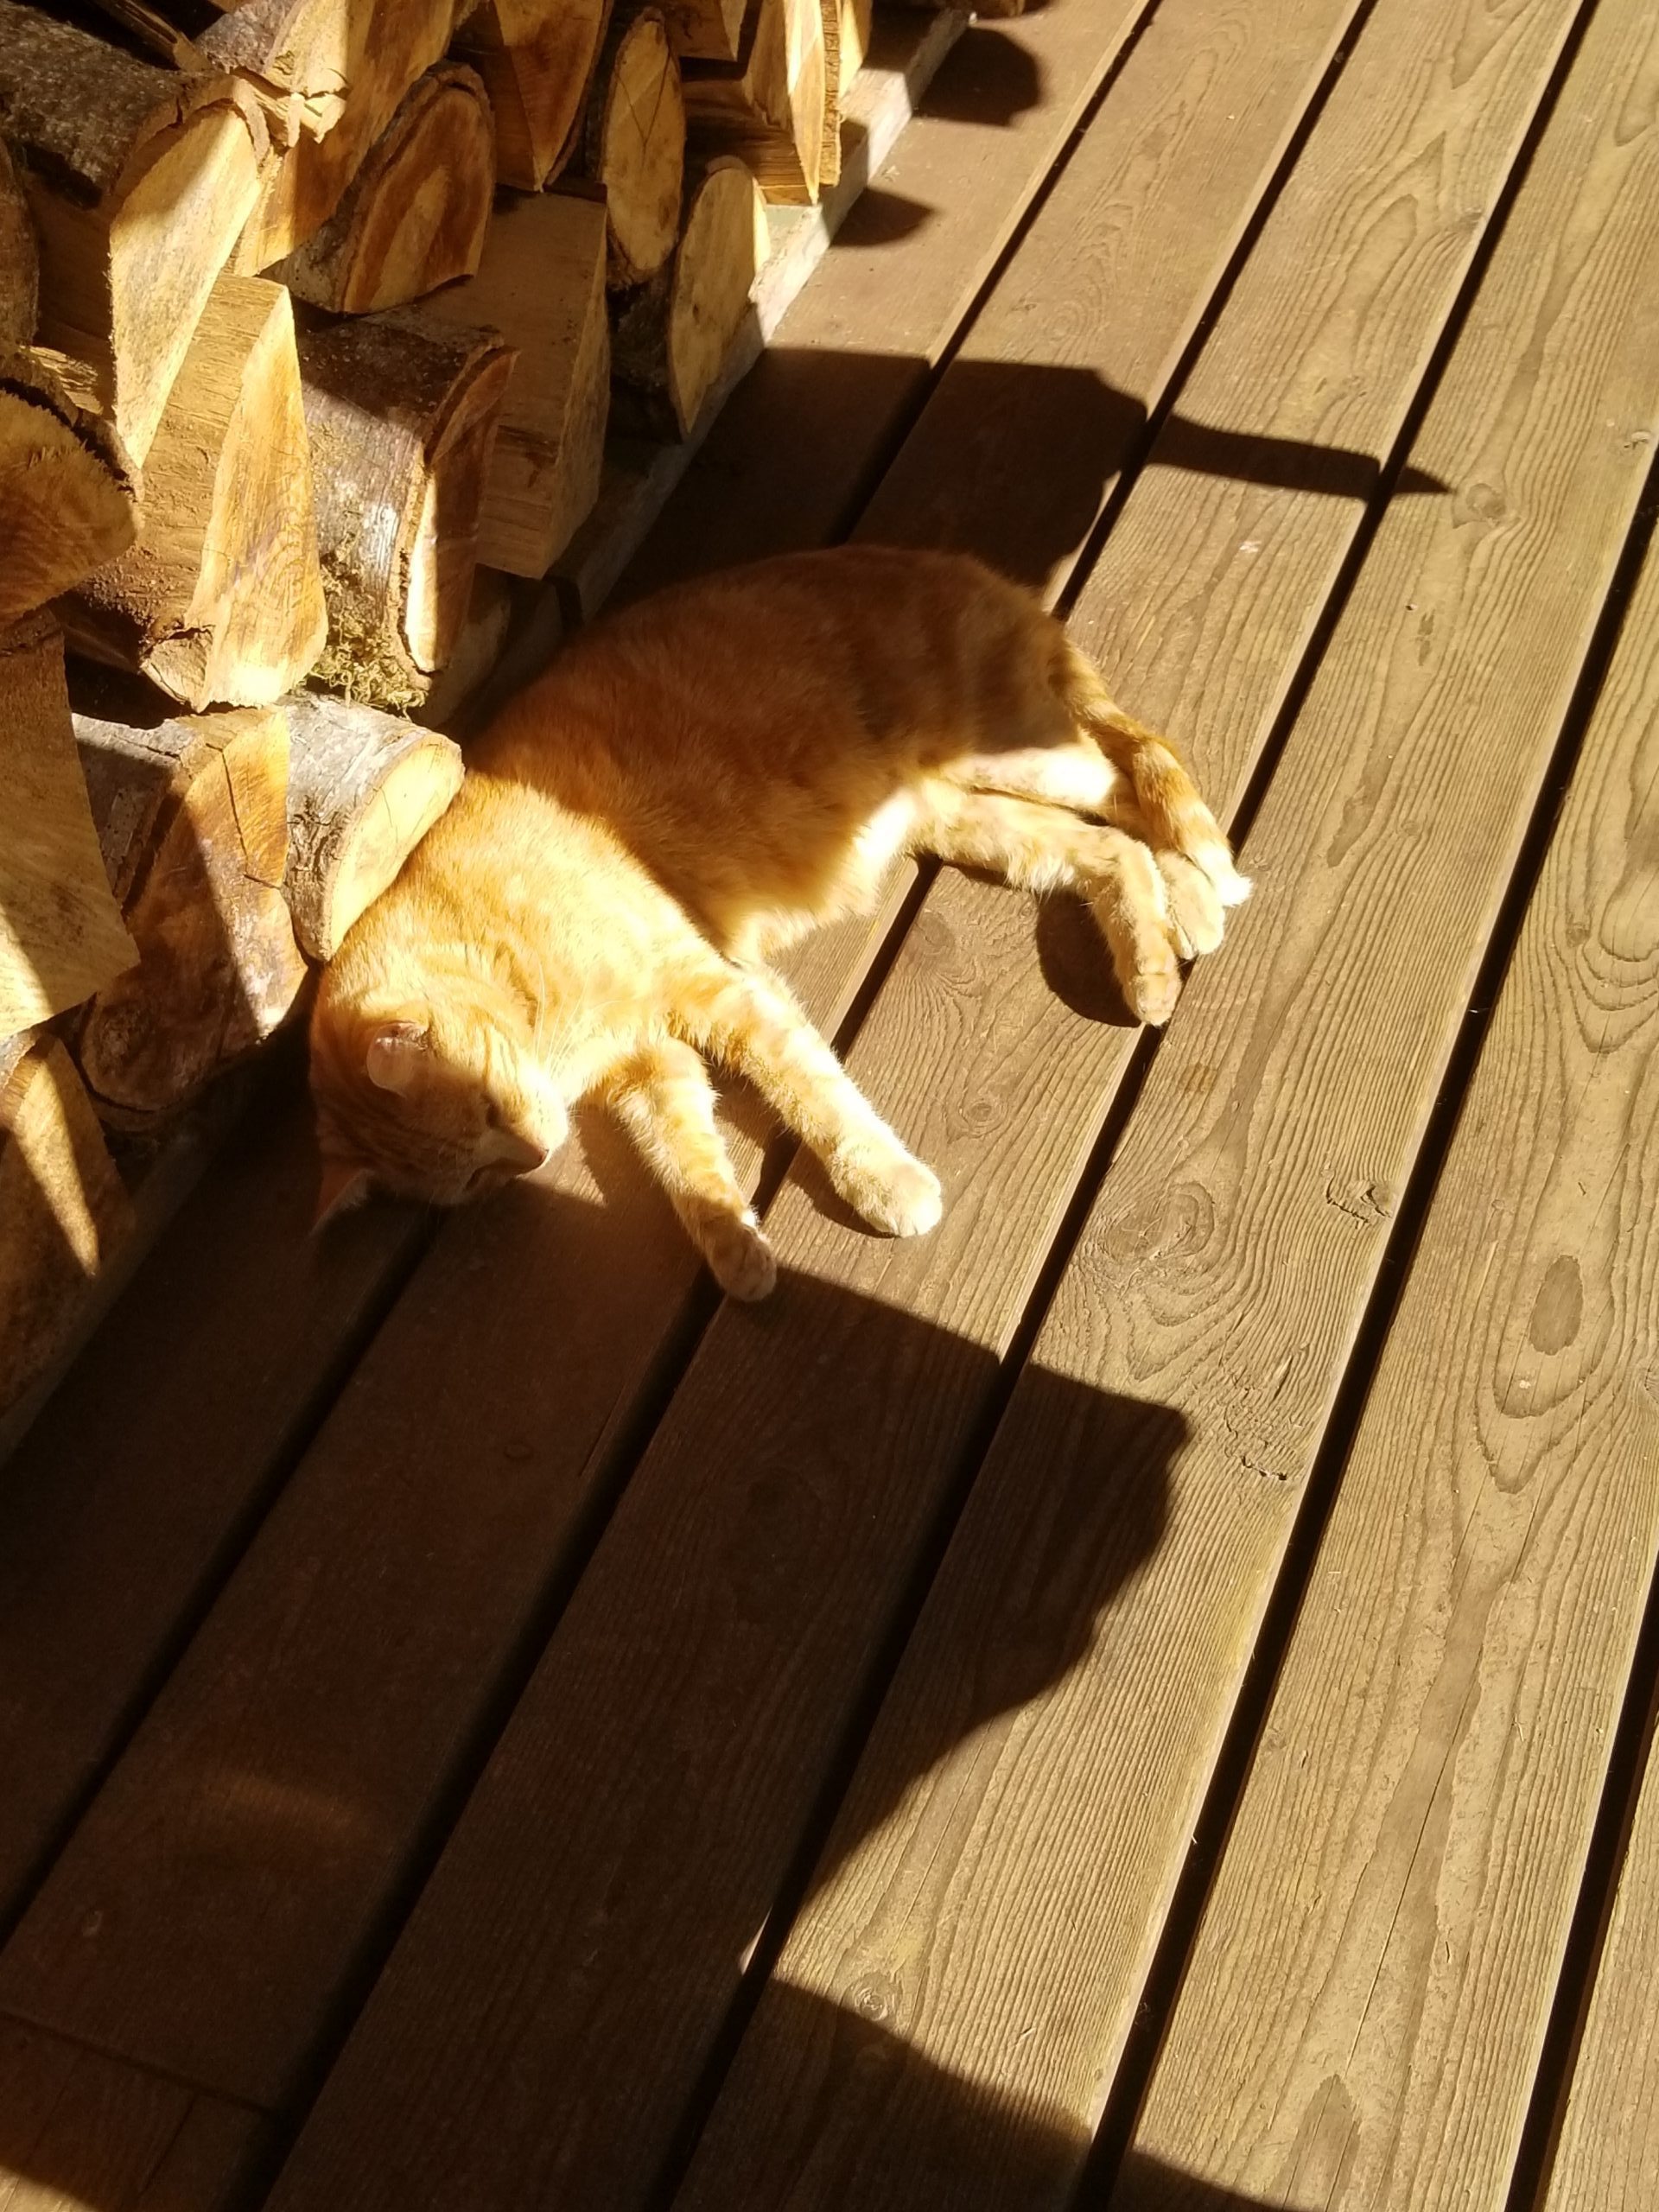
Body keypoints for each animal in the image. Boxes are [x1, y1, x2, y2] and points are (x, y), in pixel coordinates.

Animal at [310, 547, 1248, 1298]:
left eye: (491, 1111)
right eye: (470, 1181)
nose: (535, 1158)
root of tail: (963, 566)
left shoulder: (714, 987)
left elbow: (813, 1092)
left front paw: (885, 1182)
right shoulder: (650, 1066)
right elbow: (685, 1160)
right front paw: (737, 1250)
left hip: (1026, 754)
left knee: (1139, 769)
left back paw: (1202, 898)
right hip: (970, 814)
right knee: (1114, 844)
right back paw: (1159, 956)